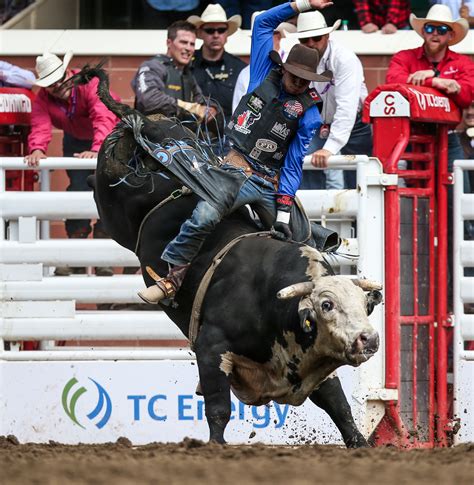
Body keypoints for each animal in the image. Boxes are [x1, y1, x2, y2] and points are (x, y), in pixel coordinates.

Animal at [70, 66, 384, 448]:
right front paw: (216, 447)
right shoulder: (211, 347)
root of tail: (150, 125)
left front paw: (360, 444)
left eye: (365, 305)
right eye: (327, 305)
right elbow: (218, 408)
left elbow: (339, 406)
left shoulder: (313, 369)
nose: (369, 339)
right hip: (114, 194)